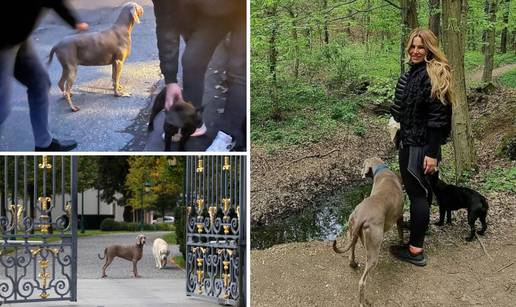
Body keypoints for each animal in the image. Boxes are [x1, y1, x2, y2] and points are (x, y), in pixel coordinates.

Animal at [332, 159, 406, 307]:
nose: (360, 172)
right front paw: (402, 243)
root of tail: (362, 215)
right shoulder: (400, 216)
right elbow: (401, 232)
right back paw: (363, 302)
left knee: (352, 251)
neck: (381, 170)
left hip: (352, 228)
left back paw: (353, 264)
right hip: (373, 248)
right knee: (362, 282)